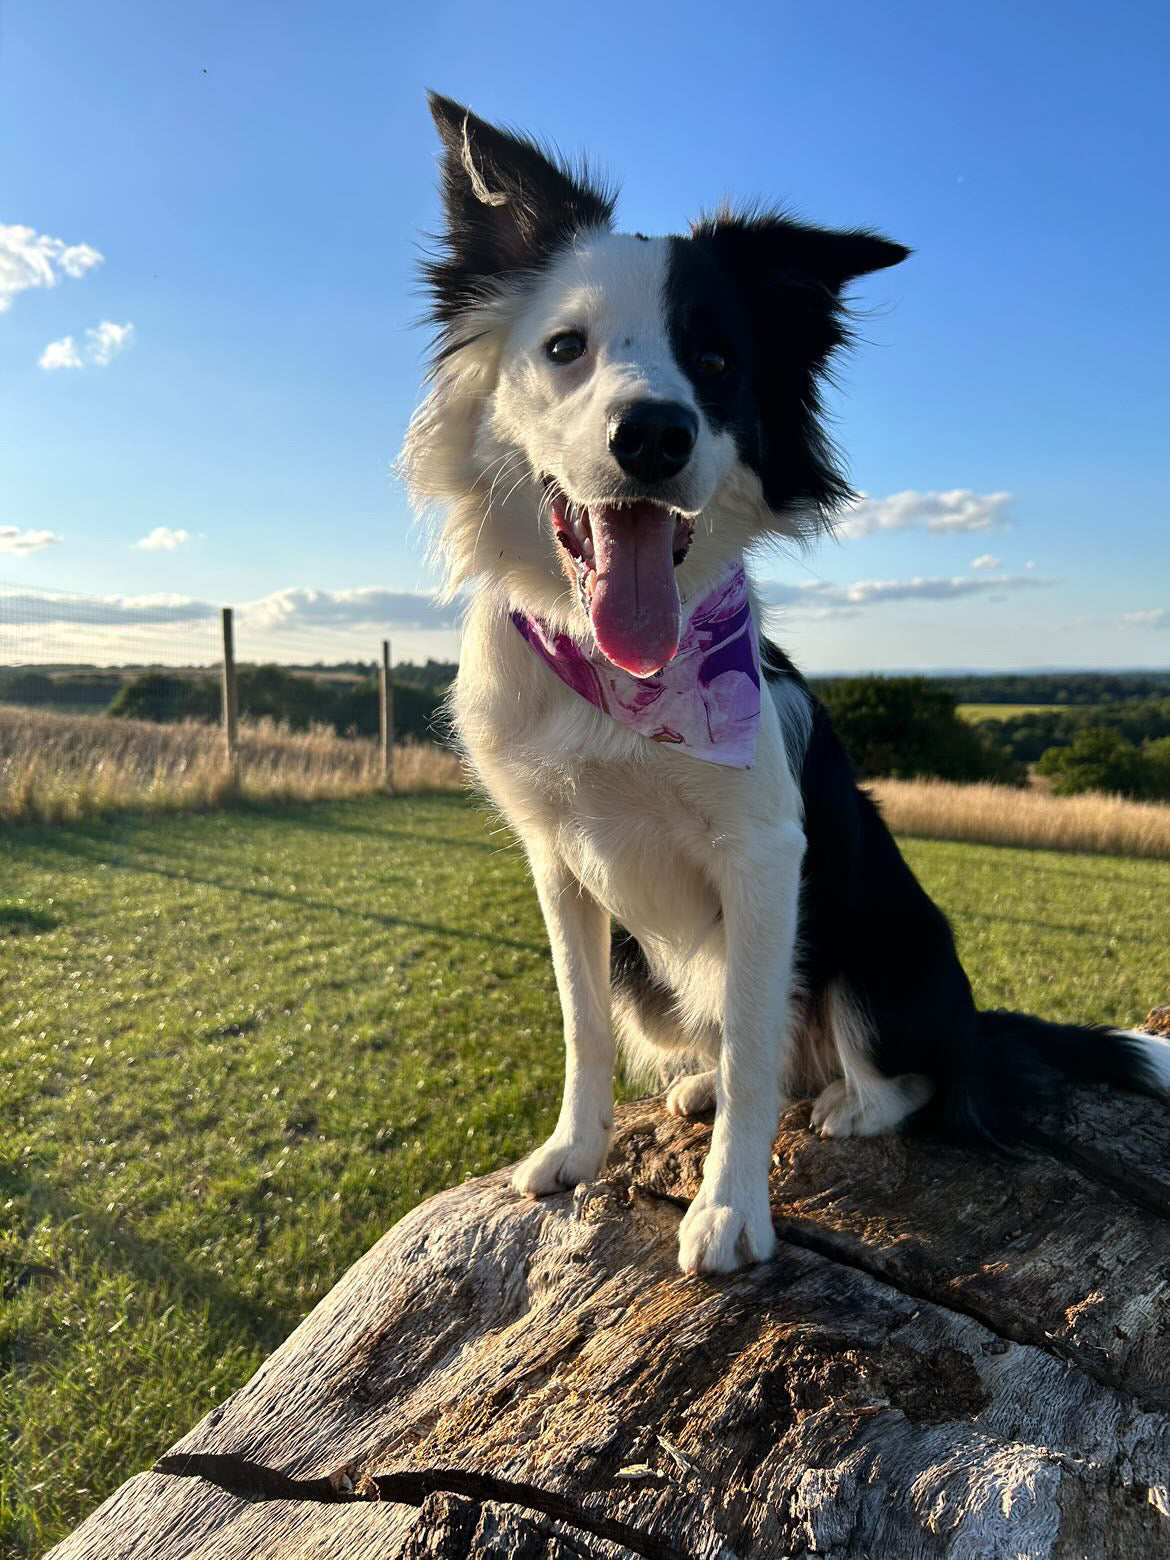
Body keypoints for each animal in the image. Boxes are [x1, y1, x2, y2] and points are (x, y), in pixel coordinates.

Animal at [399, 91, 1166, 1272]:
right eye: (565, 348)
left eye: (717, 361)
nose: (653, 433)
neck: (622, 680)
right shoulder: (558, 862)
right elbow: (583, 1022)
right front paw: (573, 1151)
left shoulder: (767, 857)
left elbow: (759, 1040)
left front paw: (728, 1210)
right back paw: (703, 1088)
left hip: (887, 946)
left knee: (912, 1079)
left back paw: (850, 1101)